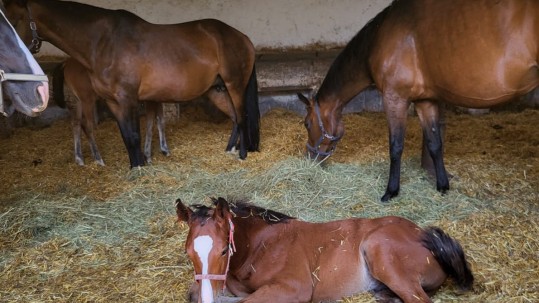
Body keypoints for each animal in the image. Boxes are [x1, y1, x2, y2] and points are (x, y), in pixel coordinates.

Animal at [2, 0, 260, 169]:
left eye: (12, 21)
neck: (103, 42)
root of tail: (242, 37)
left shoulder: (128, 99)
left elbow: (135, 134)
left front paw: (141, 165)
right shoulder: (112, 101)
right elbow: (127, 136)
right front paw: (136, 166)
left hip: (235, 85)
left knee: (242, 117)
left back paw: (242, 155)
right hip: (218, 90)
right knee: (235, 118)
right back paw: (229, 149)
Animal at [176, 198, 472, 302]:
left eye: (224, 251)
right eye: (189, 253)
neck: (262, 245)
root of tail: (424, 235)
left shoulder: (295, 287)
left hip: (381, 251)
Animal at [298, 0, 539, 204]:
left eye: (307, 124)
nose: (310, 158)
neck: (380, 37)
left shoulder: (395, 99)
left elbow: (396, 146)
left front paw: (391, 192)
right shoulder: (426, 101)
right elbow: (434, 144)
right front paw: (442, 186)